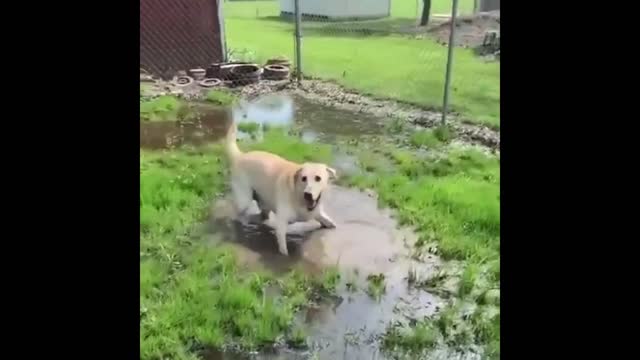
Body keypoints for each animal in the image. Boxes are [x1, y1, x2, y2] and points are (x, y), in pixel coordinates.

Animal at [222, 122, 338, 255]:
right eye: (304, 178)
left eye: (318, 178)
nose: (307, 194)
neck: (297, 195)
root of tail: (240, 156)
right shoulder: (282, 223)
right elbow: (283, 247)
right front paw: (285, 255)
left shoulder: (317, 212)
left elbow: (329, 222)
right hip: (244, 200)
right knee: (237, 213)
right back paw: (242, 222)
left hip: (263, 202)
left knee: (263, 215)